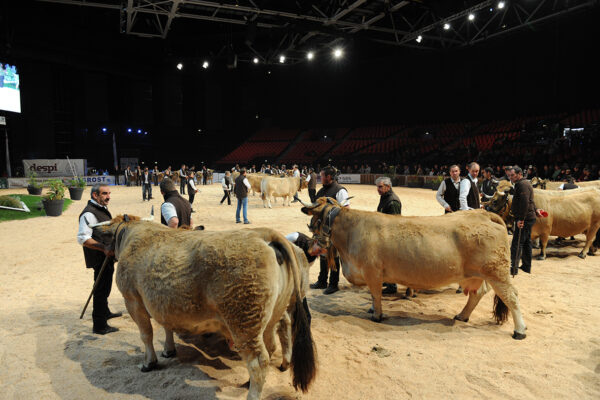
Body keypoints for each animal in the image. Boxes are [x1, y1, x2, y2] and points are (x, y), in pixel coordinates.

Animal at [91, 216, 316, 400]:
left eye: (107, 224)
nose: (92, 228)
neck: (131, 235)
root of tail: (264, 234)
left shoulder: (133, 300)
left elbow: (146, 335)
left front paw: (149, 362)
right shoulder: (164, 303)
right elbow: (167, 326)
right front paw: (168, 350)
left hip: (244, 322)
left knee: (258, 362)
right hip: (270, 317)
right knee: (273, 344)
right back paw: (252, 380)